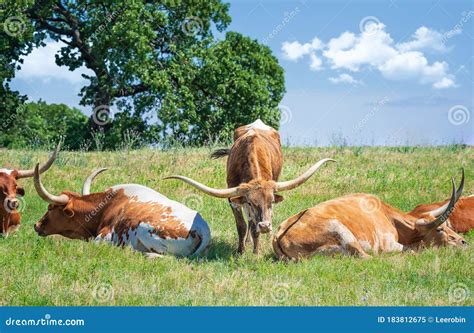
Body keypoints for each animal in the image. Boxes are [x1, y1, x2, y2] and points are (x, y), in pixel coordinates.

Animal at [33, 166, 211, 256]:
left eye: (50, 208)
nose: (36, 225)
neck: (105, 207)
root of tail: (203, 228)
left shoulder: (103, 238)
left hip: (144, 228)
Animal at [165, 118, 336, 252]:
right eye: (251, 202)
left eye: (271, 201)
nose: (266, 226)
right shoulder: (234, 200)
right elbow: (241, 225)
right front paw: (241, 251)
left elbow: (254, 226)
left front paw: (256, 251)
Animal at [274, 171, 466, 260]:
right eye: (439, 229)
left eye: (448, 226)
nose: (463, 242)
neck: (389, 216)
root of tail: (278, 236)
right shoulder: (389, 245)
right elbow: (411, 250)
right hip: (342, 231)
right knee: (367, 257)